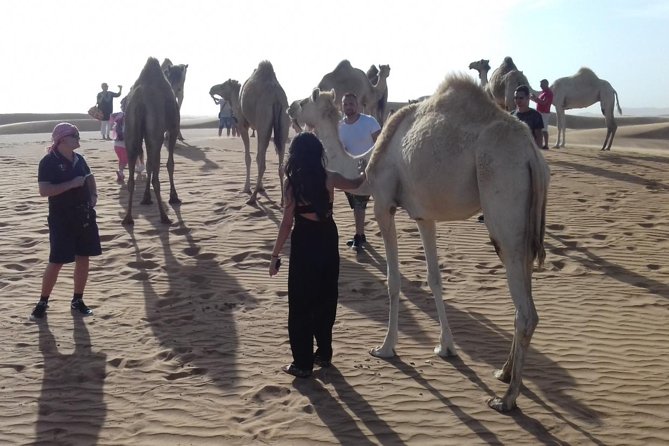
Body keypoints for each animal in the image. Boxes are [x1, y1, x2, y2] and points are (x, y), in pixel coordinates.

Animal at [122, 57, 181, 225]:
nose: (180, 87)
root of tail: (140, 101)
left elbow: (148, 165)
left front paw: (146, 198)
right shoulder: (173, 128)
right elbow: (169, 164)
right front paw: (174, 197)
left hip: (130, 132)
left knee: (132, 178)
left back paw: (128, 218)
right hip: (156, 132)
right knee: (156, 176)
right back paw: (164, 217)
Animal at [209, 61, 290, 204]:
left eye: (223, 85)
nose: (212, 88)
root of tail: (276, 97)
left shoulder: (243, 125)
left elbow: (249, 157)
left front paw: (247, 188)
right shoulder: (258, 128)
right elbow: (257, 157)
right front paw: (261, 188)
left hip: (264, 120)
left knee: (263, 164)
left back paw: (252, 198)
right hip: (283, 123)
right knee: (280, 162)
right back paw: (282, 200)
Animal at [296, 75, 550, 412]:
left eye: (303, 102)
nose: (290, 108)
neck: (366, 162)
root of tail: (531, 155)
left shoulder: (383, 204)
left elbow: (393, 280)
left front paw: (385, 347)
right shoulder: (423, 215)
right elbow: (434, 279)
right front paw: (446, 346)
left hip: (503, 204)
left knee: (526, 311)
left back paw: (506, 399)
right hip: (525, 225)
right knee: (525, 293)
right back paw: (504, 372)